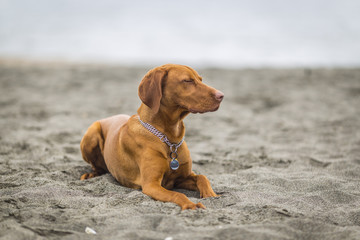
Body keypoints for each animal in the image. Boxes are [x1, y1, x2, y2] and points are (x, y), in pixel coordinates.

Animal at [80, 64, 224, 210]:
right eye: (187, 81)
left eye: (201, 80)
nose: (221, 96)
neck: (170, 139)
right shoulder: (151, 185)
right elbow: (178, 194)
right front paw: (190, 205)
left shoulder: (182, 178)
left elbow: (202, 177)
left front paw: (211, 195)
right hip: (92, 134)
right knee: (96, 166)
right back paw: (91, 174)